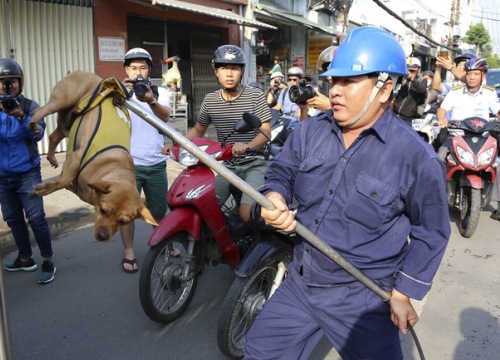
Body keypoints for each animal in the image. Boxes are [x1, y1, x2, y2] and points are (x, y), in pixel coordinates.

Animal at [28, 70, 156, 240]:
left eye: (123, 222)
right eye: (103, 210)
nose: (103, 236)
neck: (115, 168)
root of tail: (83, 72)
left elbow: (64, 181)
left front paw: (47, 187)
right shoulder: (75, 157)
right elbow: (64, 179)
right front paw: (42, 189)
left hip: (67, 122)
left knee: (53, 136)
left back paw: (51, 157)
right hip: (62, 100)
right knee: (40, 111)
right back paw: (34, 124)